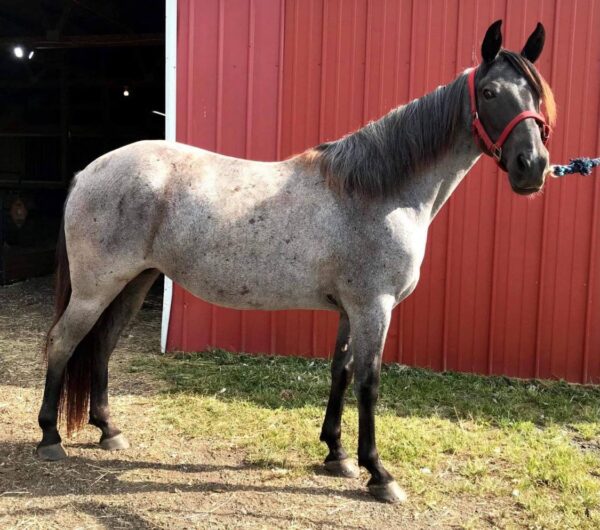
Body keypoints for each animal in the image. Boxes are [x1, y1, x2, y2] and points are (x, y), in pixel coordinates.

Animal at [37, 19, 556, 500]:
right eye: (489, 92)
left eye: (536, 92)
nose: (533, 167)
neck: (378, 193)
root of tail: (89, 171)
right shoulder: (374, 308)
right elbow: (369, 382)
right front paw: (378, 473)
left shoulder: (351, 310)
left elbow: (341, 372)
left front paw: (337, 454)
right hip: (97, 287)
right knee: (63, 342)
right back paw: (50, 437)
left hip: (135, 281)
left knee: (102, 345)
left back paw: (109, 430)